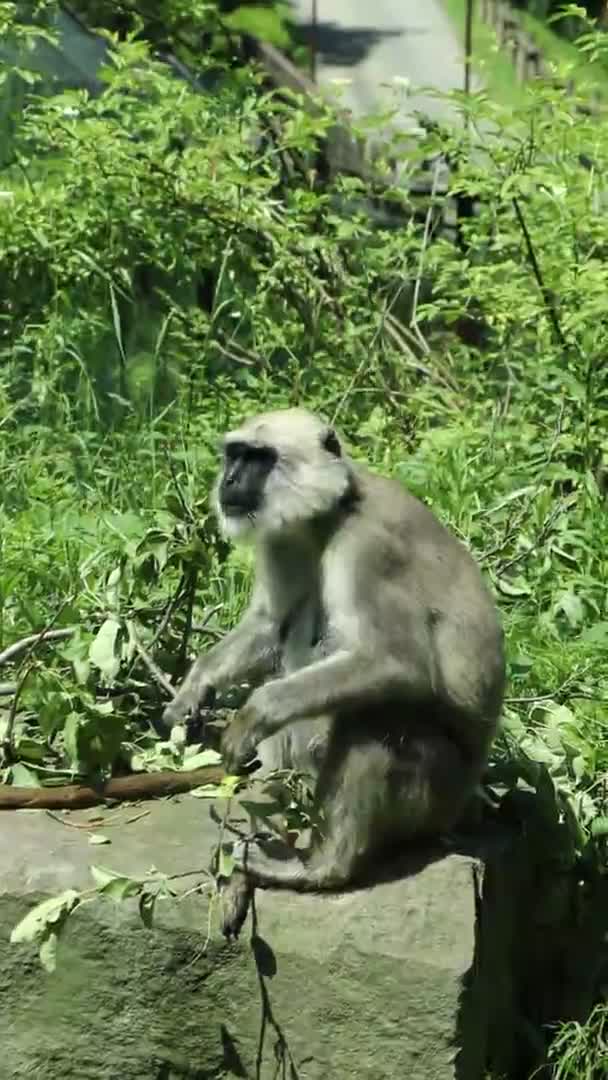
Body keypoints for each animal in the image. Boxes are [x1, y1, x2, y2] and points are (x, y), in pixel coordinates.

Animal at [160, 408, 505, 933]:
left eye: (259, 459)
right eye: (234, 454)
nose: (230, 480)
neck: (331, 514)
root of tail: (466, 804)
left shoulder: (367, 547)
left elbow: (398, 662)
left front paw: (250, 716)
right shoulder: (283, 537)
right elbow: (268, 625)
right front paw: (192, 692)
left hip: (435, 794)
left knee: (375, 719)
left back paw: (322, 868)